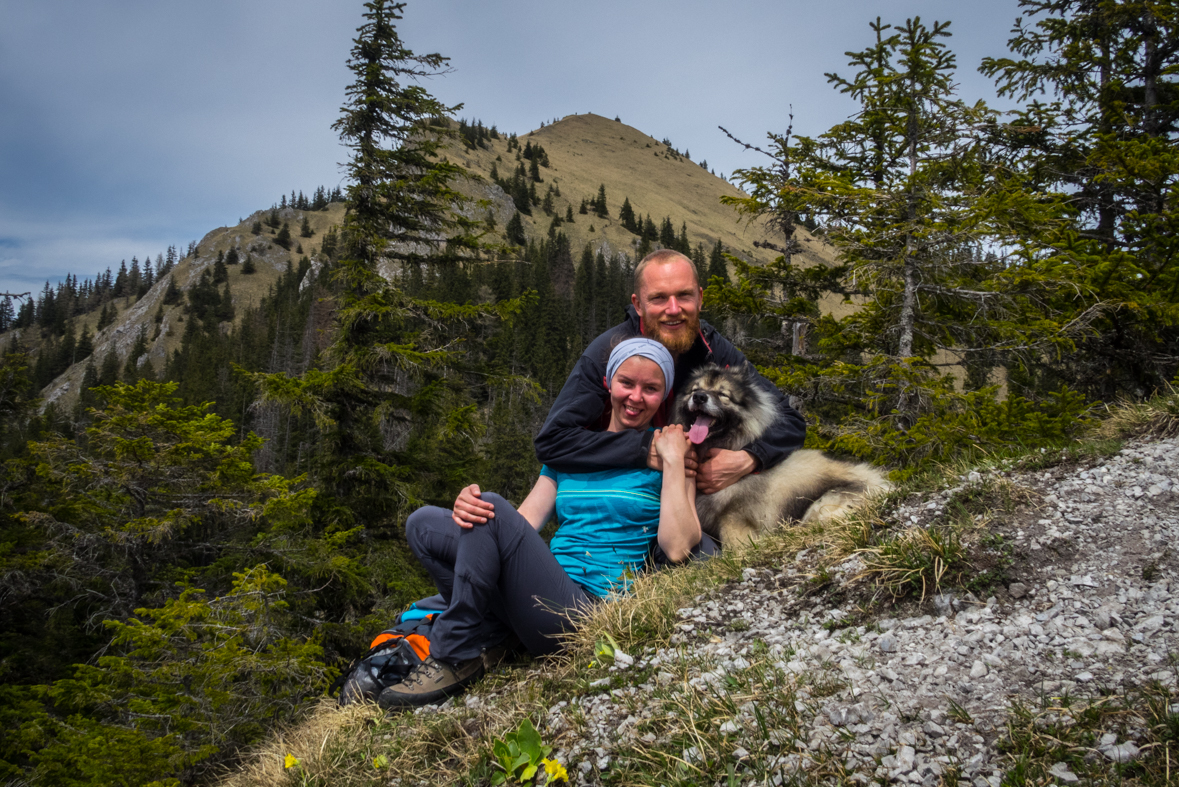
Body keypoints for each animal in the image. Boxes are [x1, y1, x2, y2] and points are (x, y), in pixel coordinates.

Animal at [674, 365, 886, 544]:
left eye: (722, 394)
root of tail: (884, 485)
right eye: (694, 390)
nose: (699, 397)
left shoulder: (734, 520)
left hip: (824, 503)